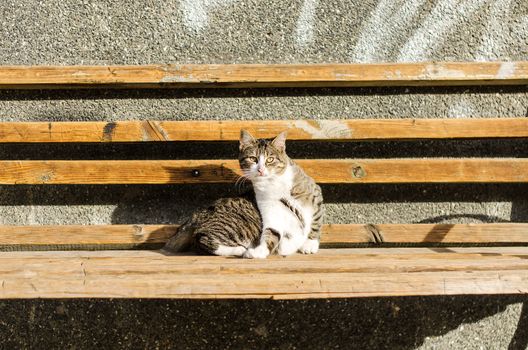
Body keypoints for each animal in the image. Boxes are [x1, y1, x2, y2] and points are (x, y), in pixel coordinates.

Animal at [238, 130, 324, 258]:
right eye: (252, 158)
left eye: (270, 159)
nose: (260, 170)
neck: (272, 183)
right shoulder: (269, 207)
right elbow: (271, 231)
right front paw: (259, 251)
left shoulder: (314, 194)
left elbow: (316, 220)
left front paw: (309, 244)